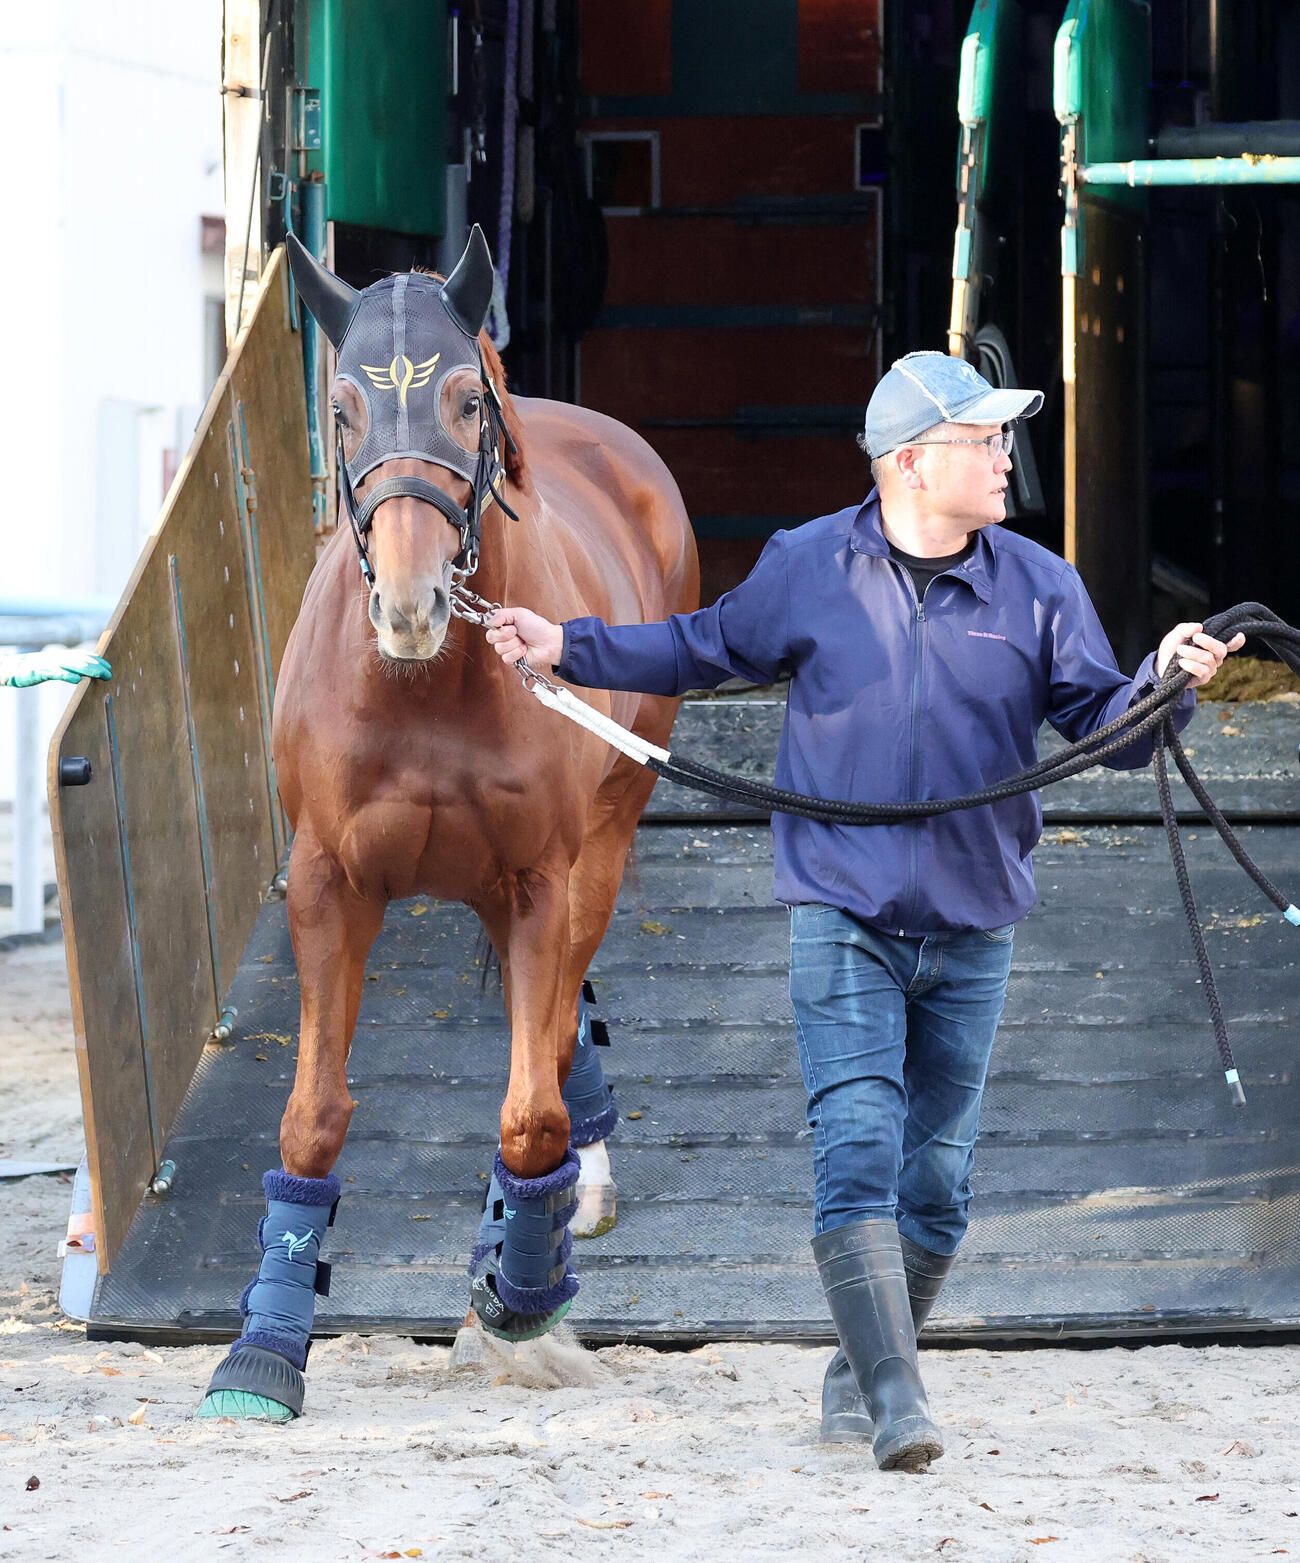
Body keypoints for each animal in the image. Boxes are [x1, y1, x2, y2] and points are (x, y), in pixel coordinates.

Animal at [197, 227, 699, 1421]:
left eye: (468, 403)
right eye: (340, 409)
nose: (411, 604)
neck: (426, 688)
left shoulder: (545, 883)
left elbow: (529, 1113)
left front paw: (517, 1297)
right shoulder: (330, 885)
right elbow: (312, 1116)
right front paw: (262, 1356)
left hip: (600, 857)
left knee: (552, 1049)